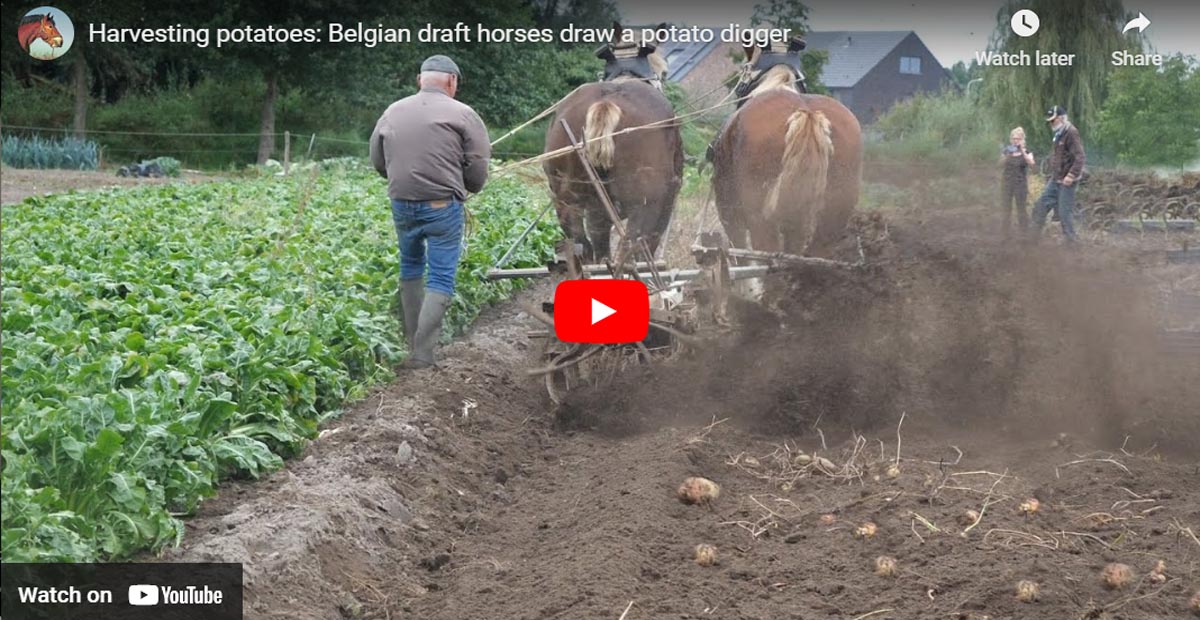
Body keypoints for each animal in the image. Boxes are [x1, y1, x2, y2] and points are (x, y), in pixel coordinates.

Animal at [547, 25, 686, 262]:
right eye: (665, 71)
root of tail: (606, 103)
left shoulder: (598, 212)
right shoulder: (665, 203)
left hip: (567, 201)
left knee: (582, 245)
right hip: (645, 204)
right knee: (631, 250)